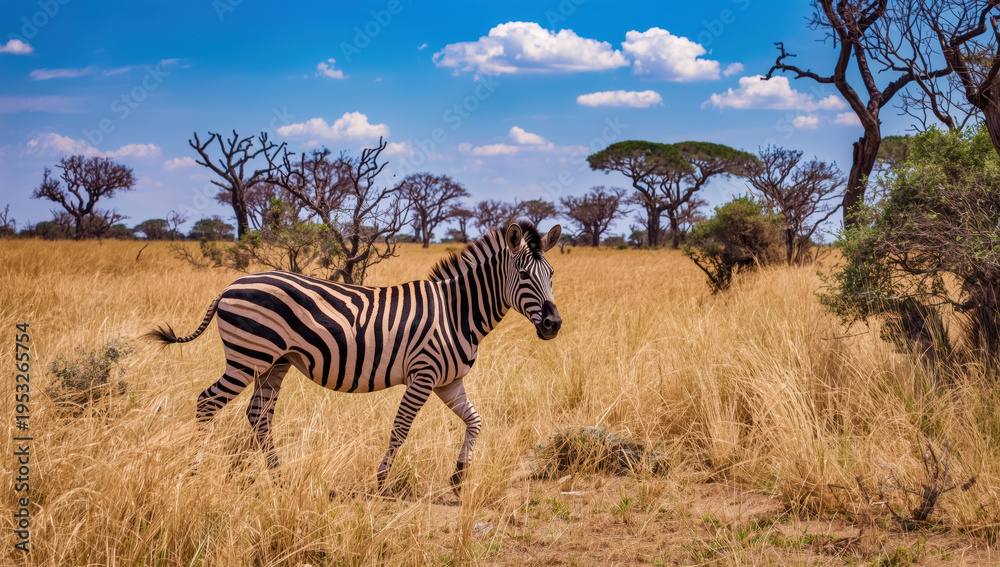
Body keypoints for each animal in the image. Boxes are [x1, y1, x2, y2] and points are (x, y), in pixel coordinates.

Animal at [147, 221, 562, 494]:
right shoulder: (424, 373)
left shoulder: (449, 381)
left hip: (274, 363)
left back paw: (279, 479)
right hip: (248, 357)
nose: (554, 324)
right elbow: (400, 428)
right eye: (525, 275)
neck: (456, 312)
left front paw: (459, 477)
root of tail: (231, 285)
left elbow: (475, 421)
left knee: (258, 415)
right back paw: (194, 472)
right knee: (207, 402)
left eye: (552, 274)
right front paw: (380, 481)